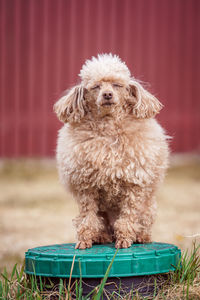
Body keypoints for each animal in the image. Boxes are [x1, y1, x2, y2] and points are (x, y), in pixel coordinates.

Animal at [53, 53, 169, 248]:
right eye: (96, 87)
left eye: (117, 85)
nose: (107, 94)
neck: (108, 126)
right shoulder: (86, 187)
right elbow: (88, 217)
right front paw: (84, 240)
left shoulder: (134, 184)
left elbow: (128, 216)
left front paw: (124, 239)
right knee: (101, 224)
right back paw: (101, 237)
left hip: (148, 208)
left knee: (142, 222)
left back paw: (140, 236)